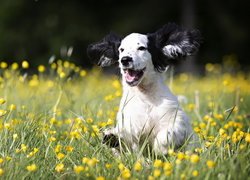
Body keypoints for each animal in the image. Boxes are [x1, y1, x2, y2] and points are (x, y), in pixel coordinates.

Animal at [87, 22, 201, 155]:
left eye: (141, 48)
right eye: (121, 49)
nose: (125, 59)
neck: (145, 97)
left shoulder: (177, 121)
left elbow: (166, 133)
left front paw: (161, 148)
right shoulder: (130, 125)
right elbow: (124, 140)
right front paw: (113, 137)